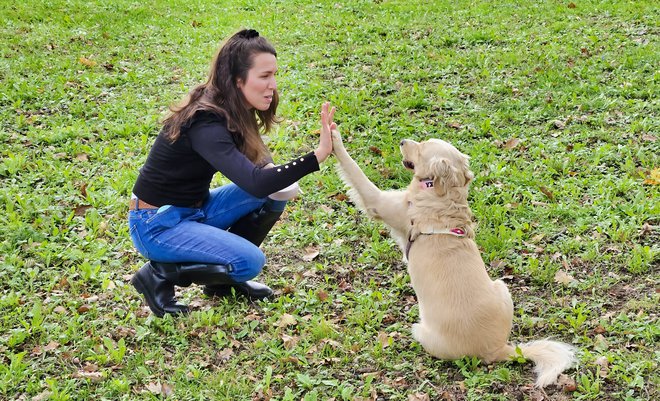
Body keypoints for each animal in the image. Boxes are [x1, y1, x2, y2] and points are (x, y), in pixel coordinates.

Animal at [332, 132, 576, 388]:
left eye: (421, 148)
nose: (402, 142)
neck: (442, 193)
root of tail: (499, 349)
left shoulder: (378, 202)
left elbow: (353, 169)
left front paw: (333, 136)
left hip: (420, 329)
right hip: (502, 286)